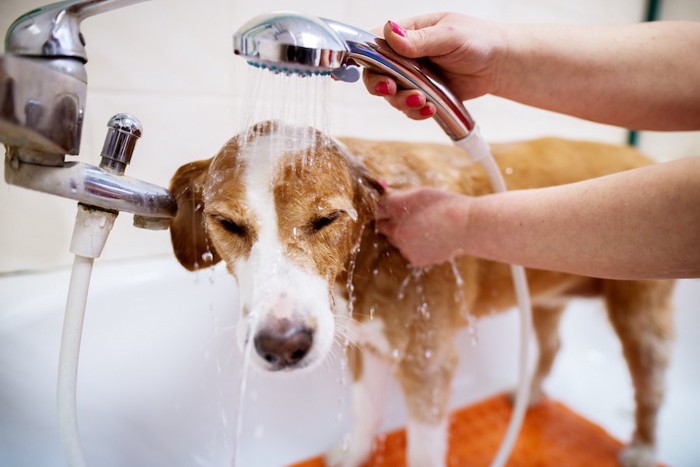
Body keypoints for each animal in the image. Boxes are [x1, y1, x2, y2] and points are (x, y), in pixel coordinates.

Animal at [168, 121, 672, 467]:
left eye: (327, 219)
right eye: (228, 224)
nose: (283, 344)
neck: (370, 253)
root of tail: (642, 157)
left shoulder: (427, 364)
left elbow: (424, 449)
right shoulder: (364, 347)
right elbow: (365, 412)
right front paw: (354, 453)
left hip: (642, 317)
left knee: (650, 387)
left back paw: (644, 448)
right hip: (545, 300)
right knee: (552, 346)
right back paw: (531, 395)